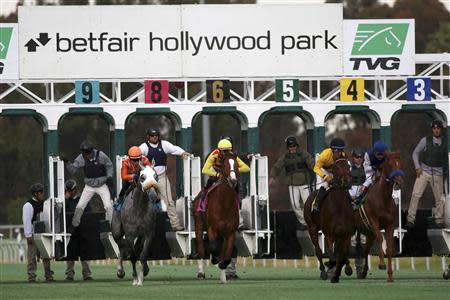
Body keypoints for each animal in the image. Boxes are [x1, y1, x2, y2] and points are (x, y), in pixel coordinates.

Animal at [194, 154, 241, 282]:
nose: (233, 180)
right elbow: (214, 247)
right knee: (200, 246)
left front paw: (223, 265)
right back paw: (201, 272)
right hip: (199, 223)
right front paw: (216, 260)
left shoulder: (230, 232)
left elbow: (227, 254)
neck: (224, 204)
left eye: (236, 165)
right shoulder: (212, 228)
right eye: (224, 165)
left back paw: (223, 276)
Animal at [356, 151, 404, 282]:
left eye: (400, 164)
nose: (399, 182)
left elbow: (390, 247)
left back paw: (363, 272)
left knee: (366, 249)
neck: (382, 198)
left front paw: (390, 275)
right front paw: (382, 264)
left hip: (367, 232)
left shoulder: (390, 223)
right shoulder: (373, 221)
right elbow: (380, 239)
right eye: (390, 164)